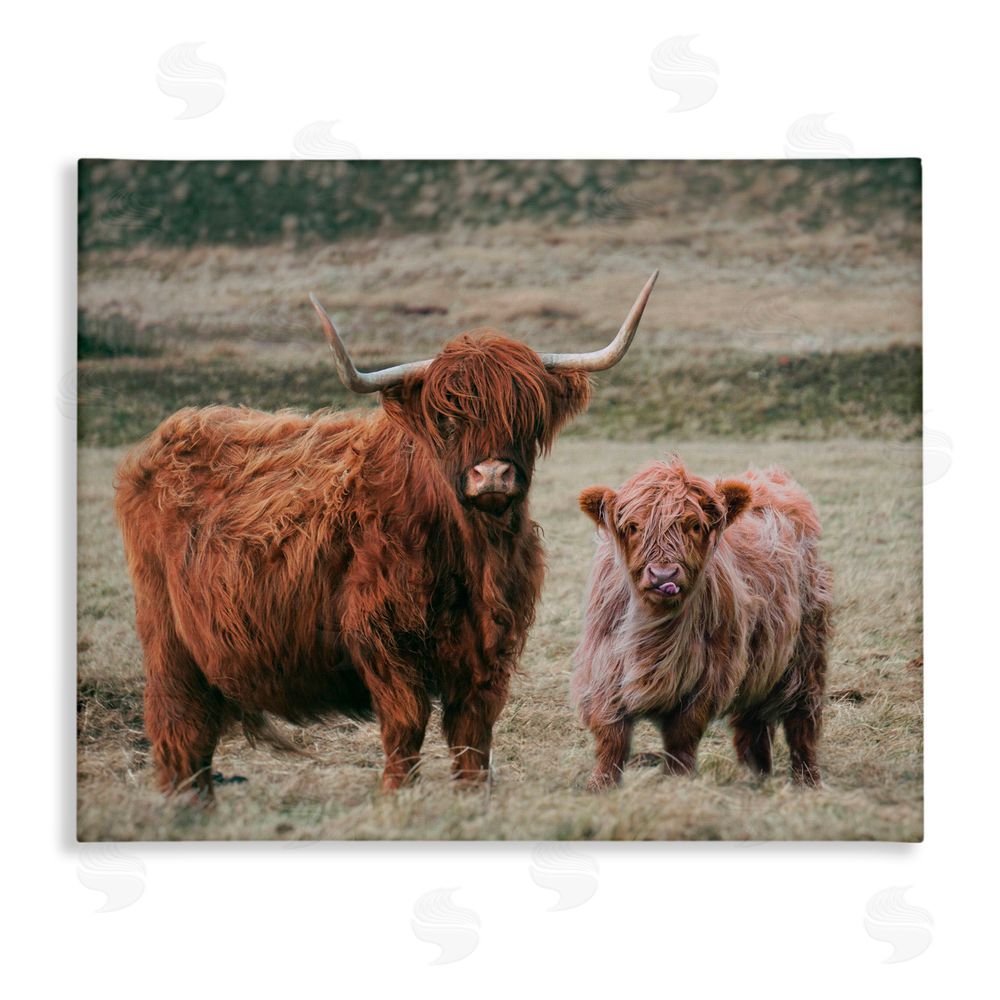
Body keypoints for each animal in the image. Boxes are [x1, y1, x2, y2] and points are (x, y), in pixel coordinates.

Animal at [115, 272, 659, 802]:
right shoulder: (383, 635)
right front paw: (397, 794)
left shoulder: (490, 646)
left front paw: (472, 795)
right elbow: (406, 722)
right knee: (179, 723)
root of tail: (170, 433)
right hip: (166, 633)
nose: (492, 475)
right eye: (447, 418)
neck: (470, 555)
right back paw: (185, 806)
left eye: (528, 415)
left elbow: (473, 731)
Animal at [571, 457, 831, 791]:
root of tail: (768, 477)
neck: (656, 632)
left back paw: (806, 781)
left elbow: (681, 737)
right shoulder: (603, 669)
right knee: (753, 722)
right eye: (633, 527)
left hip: (806, 652)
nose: (663, 576)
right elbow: (611, 737)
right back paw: (755, 776)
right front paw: (600, 785)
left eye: (694, 525)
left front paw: (676, 781)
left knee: (802, 719)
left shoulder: (707, 677)